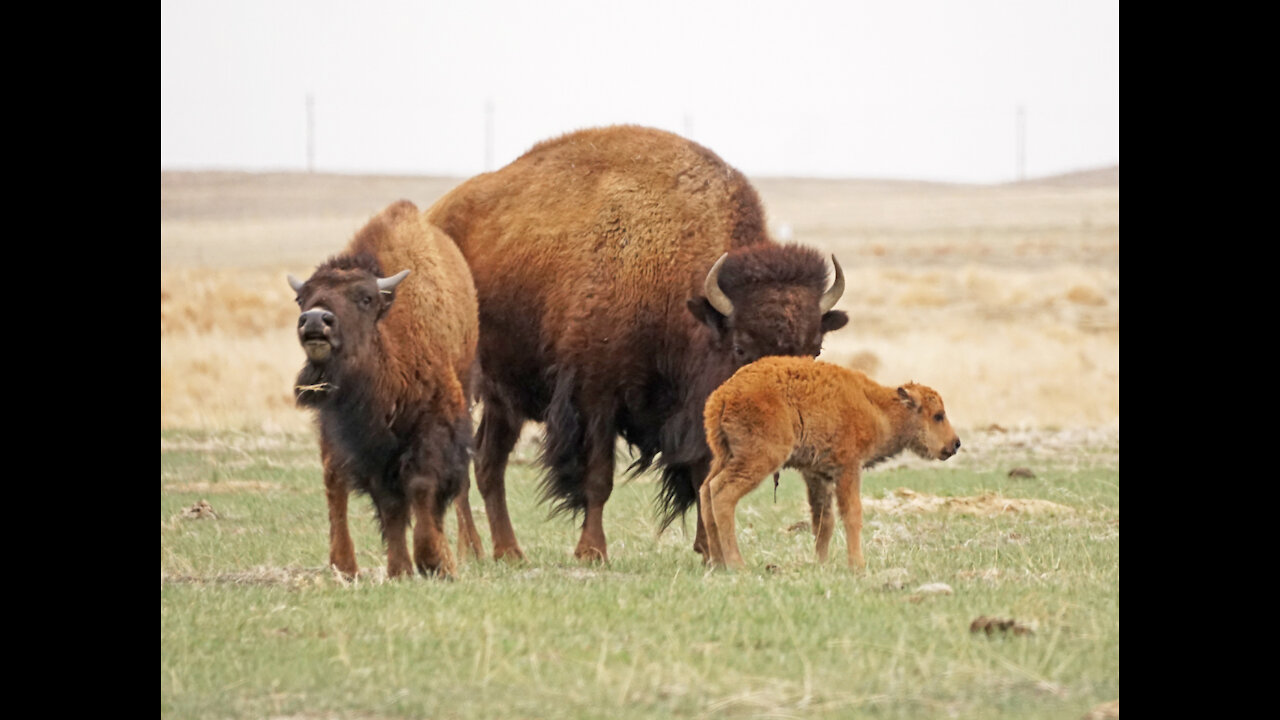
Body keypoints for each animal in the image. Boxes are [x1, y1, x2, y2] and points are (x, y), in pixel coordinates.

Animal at [288, 197, 481, 576]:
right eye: (302, 299)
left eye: (365, 298)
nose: (315, 321)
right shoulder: (361, 443)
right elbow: (388, 503)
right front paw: (400, 568)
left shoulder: (435, 424)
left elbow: (422, 486)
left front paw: (434, 560)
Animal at [427, 124, 849, 561]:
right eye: (740, 348)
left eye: (815, 349)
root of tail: (435, 217)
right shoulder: (595, 399)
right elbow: (599, 479)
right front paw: (591, 551)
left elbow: (701, 474)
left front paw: (707, 549)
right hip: (465, 384)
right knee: (468, 466)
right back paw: (475, 548)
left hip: (504, 399)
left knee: (488, 462)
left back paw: (508, 551)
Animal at [701, 356, 962, 568]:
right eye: (938, 416)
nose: (956, 443)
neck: (876, 407)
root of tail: (723, 396)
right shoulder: (848, 468)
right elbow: (852, 513)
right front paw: (857, 565)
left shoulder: (817, 474)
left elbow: (823, 520)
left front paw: (821, 563)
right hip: (759, 459)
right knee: (722, 493)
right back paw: (736, 563)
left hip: (724, 456)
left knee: (706, 491)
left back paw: (718, 562)